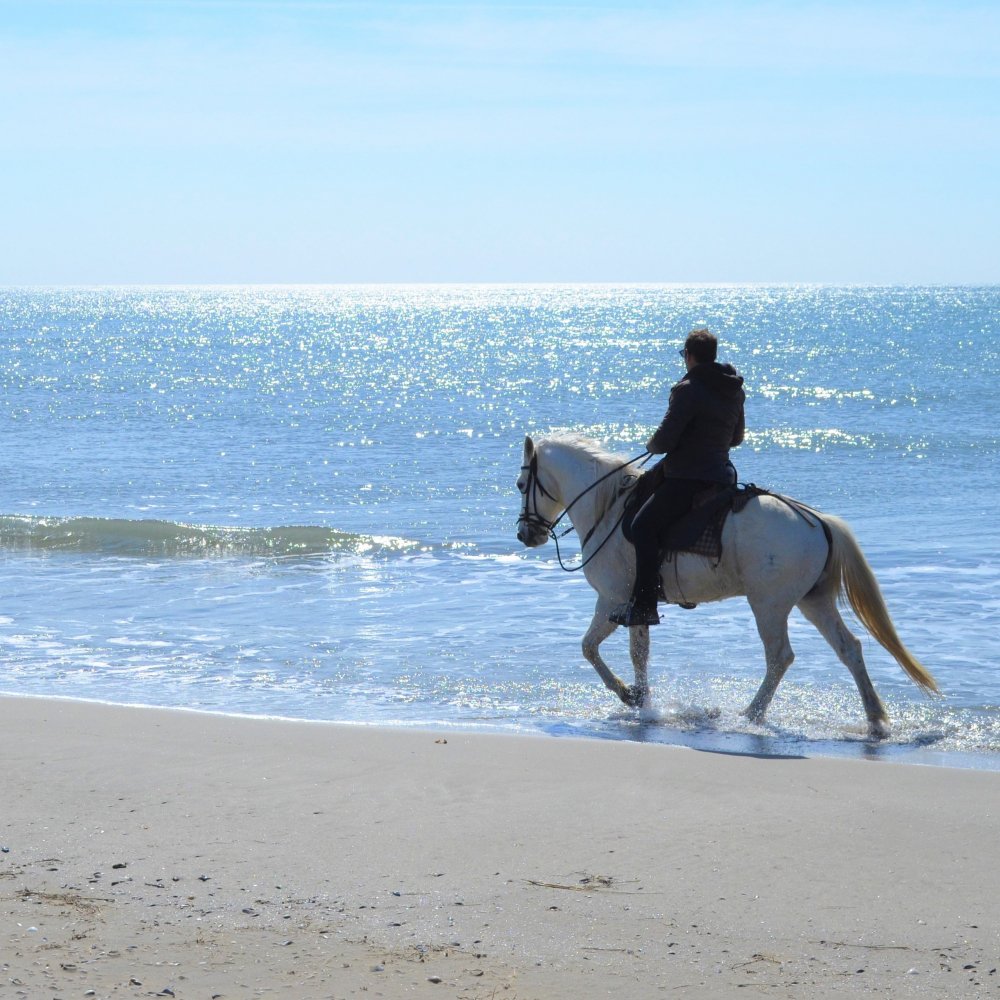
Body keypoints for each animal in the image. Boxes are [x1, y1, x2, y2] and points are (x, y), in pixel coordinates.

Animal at [516, 434, 936, 740]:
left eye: (521, 484)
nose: (525, 534)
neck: (609, 509)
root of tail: (818, 520)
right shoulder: (635, 605)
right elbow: (638, 654)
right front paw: (642, 700)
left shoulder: (612, 600)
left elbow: (590, 649)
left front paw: (629, 696)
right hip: (813, 601)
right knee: (849, 648)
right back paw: (875, 719)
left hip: (769, 605)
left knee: (780, 657)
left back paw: (751, 714)